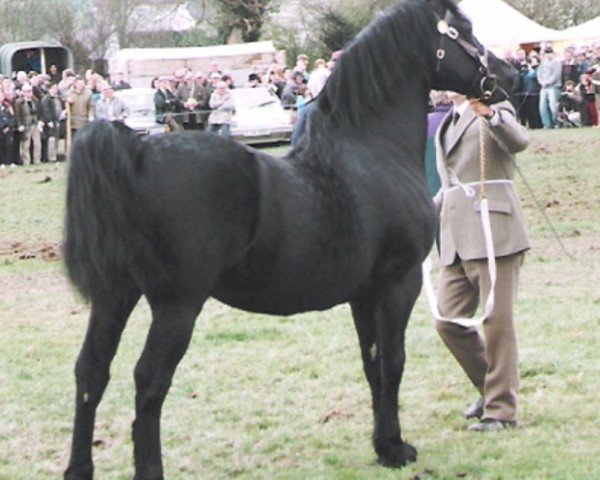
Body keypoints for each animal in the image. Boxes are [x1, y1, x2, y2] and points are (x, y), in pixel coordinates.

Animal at [63, 1, 516, 478]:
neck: (372, 150)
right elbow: (393, 361)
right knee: (149, 381)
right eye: (466, 31)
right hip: (176, 307)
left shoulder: (363, 295)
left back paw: (79, 468)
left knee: (91, 372)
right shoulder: (399, 283)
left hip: (115, 296)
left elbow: (372, 363)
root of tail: (137, 152)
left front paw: (381, 445)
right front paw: (396, 448)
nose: (507, 76)